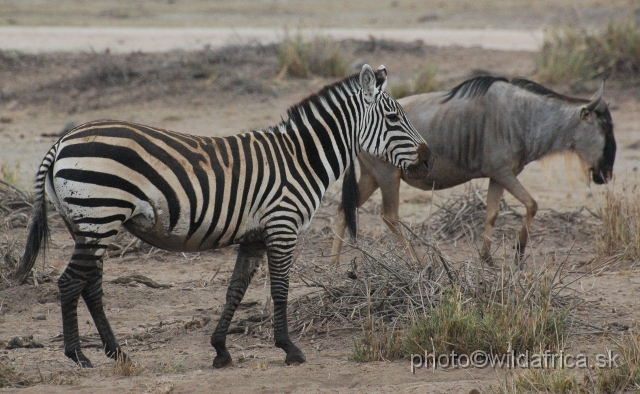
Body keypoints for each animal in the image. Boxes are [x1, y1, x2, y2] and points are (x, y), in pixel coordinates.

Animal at [15, 63, 432, 368]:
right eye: (394, 118)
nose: (429, 159)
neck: (301, 159)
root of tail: (61, 142)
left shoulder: (255, 236)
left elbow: (235, 289)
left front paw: (220, 350)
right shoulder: (282, 226)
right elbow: (280, 289)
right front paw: (289, 349)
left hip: (87, 222)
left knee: (91, 286)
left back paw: (117, 352)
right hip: (99, 216)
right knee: (71, 282)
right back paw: (78, 356)